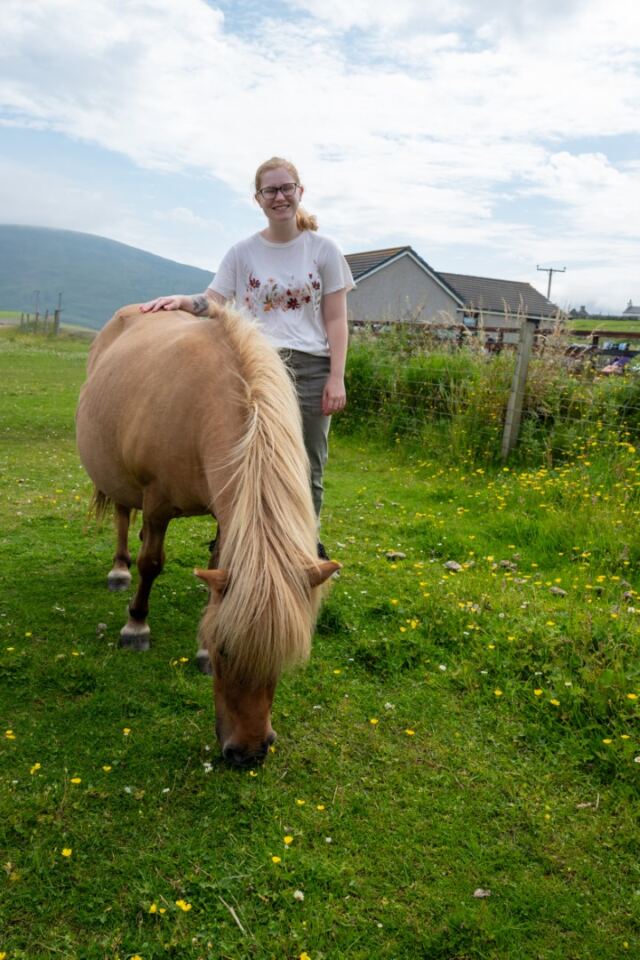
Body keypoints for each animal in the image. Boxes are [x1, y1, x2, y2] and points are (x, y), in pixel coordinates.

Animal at [76, 302, 339, 766]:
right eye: (226, 652)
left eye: (283, 659)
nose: (249, 753)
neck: (203, 410)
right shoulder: (157, 503)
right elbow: (152, 564)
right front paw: (136, 626)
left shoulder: (224, 512)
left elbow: (216, 570)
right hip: (120, 481)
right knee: (125, 518)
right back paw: (119, 571)